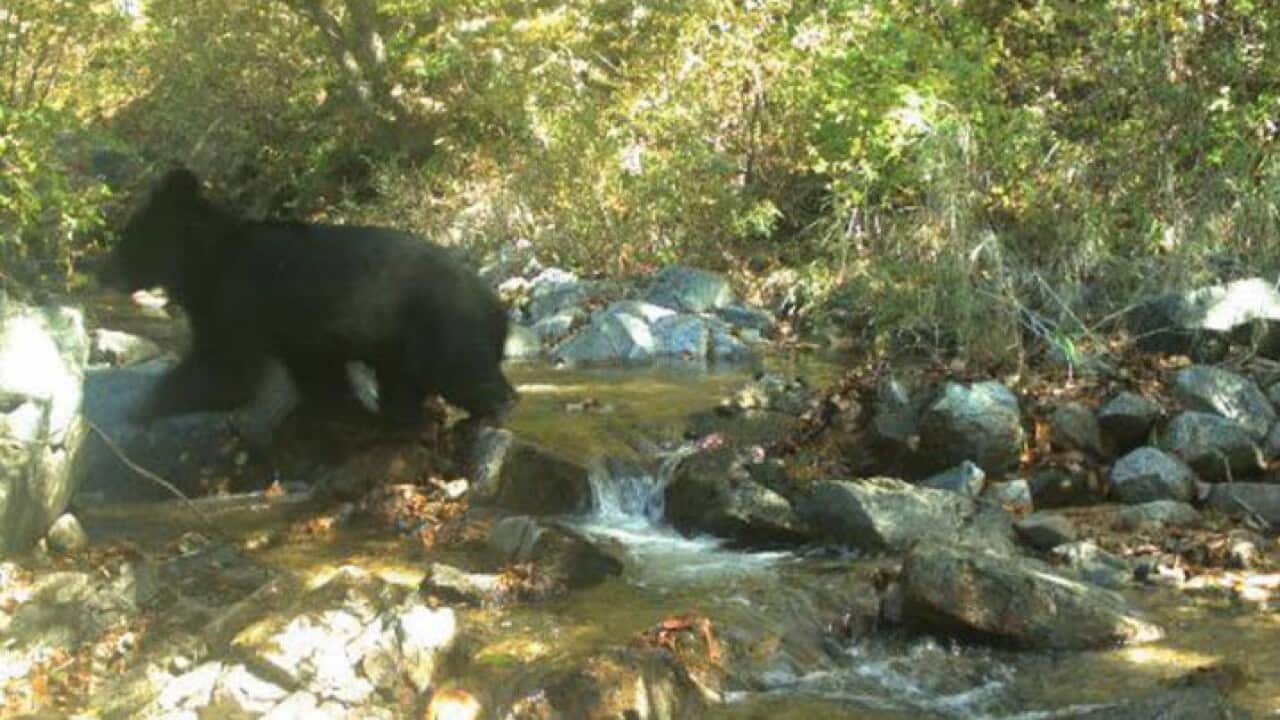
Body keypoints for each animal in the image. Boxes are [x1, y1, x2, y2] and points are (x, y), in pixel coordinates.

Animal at [106, 167, 517, 429]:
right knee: (406, 381)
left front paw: (142, 407)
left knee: (459, 368)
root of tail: (496, 305)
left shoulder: (238, 298)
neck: (205, 262)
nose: (102, 269)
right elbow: (315, 372)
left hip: (440, 322)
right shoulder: (299, 332)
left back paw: (498, 406)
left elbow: (225, 369)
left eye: (128, 238)